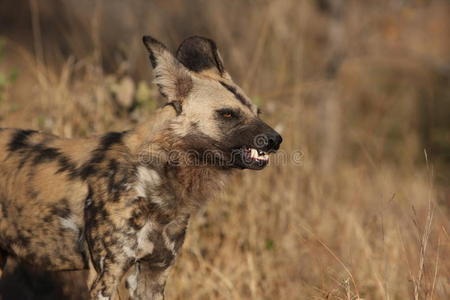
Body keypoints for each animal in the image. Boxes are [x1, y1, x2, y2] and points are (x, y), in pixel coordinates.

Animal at [0, 34, 282, 298]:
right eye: (227, 114)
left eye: (257, 112)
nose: (276, 140)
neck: (157, 181)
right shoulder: (105, 277)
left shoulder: (153, 274)